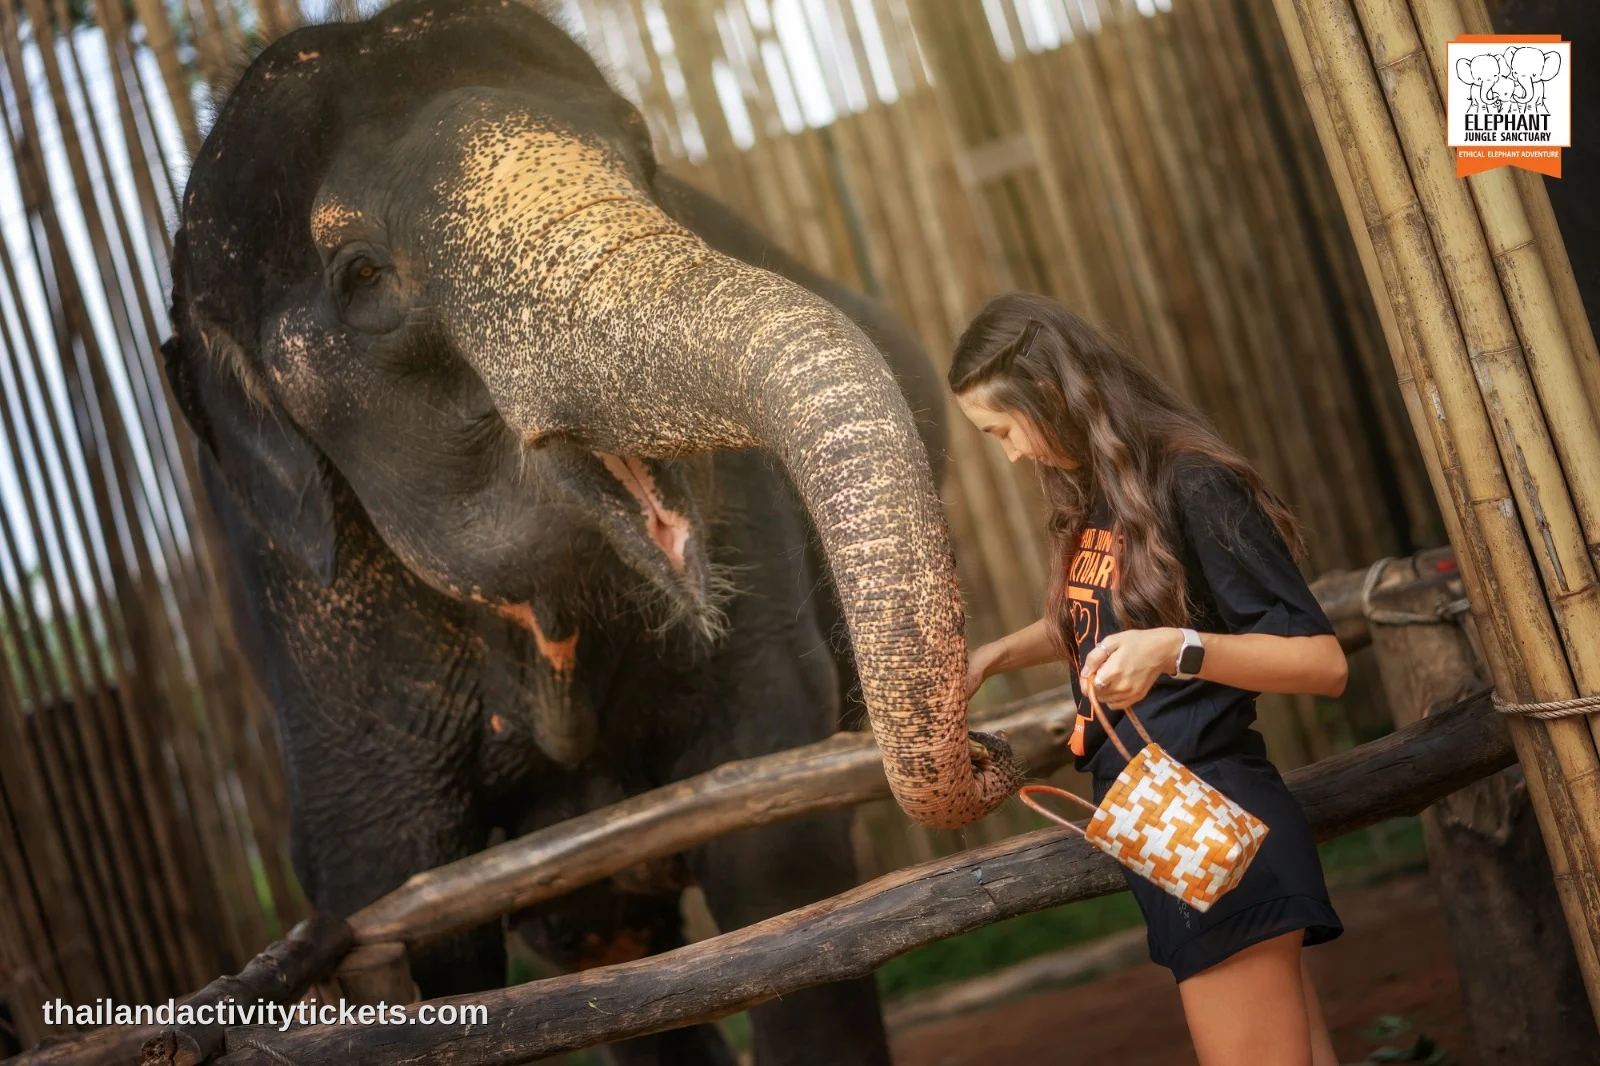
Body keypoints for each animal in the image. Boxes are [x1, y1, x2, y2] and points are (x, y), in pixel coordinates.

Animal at [162, 0, 1020, 1062]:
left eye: (645, 155)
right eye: (360, 275)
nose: (988, 748)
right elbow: (407, 919)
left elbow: (773, 840)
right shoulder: (318, 637)